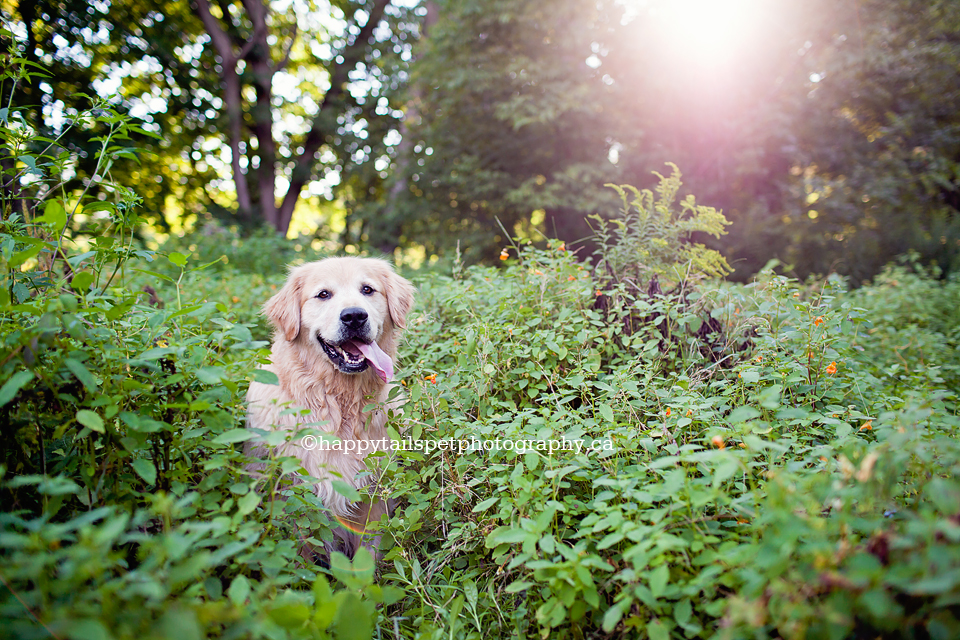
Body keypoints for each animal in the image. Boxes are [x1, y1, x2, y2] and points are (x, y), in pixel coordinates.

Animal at [246, 256, 414, 560]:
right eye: (323, 294)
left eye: (367, 290)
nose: (355, 316)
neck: (337, 403)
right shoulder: (293, 496)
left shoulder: (373, 496)